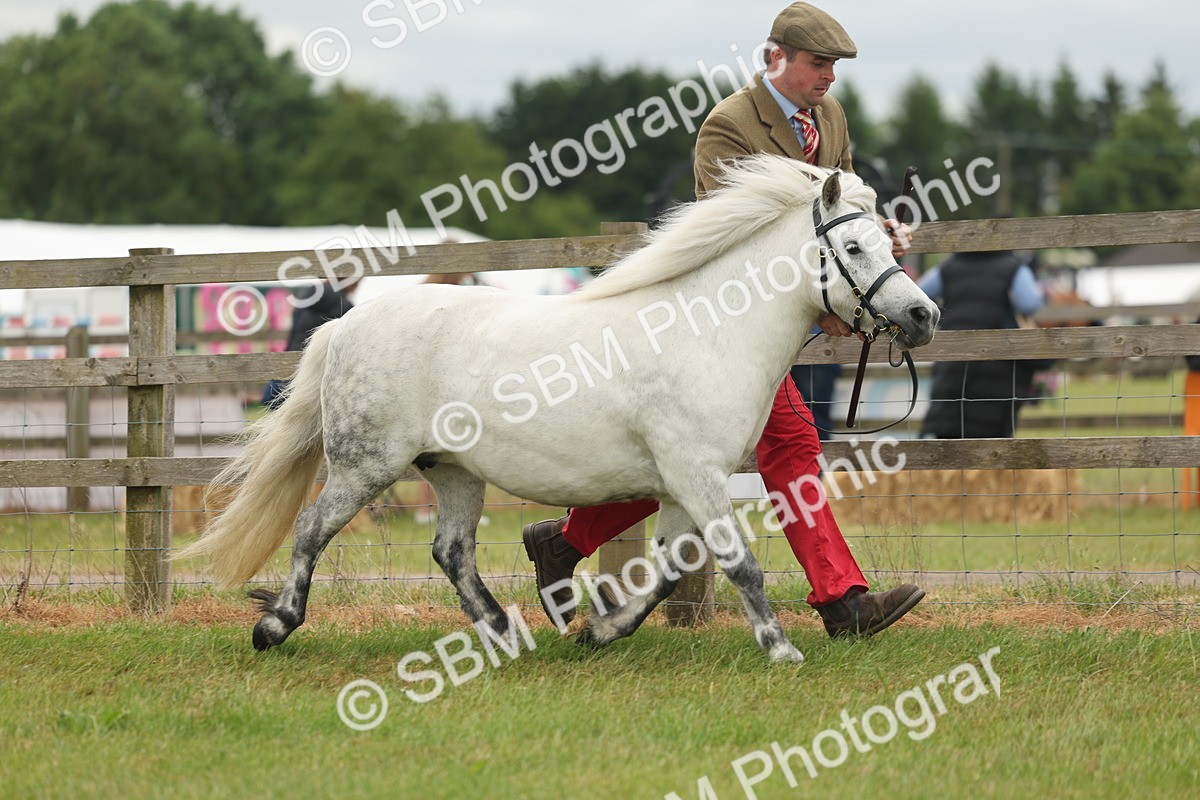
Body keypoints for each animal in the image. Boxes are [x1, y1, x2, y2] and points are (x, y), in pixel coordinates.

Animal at [176, 155, 939, 663]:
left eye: (887, 241)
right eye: (852, 246)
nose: (922, 315)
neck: (708, 331)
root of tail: (344, 326)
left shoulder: (686, 483)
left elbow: (666, 572)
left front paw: (600, 630)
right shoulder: (696, 475)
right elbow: (740, 563)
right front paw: (780, 649)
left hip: (453, 470)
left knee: (451, 550)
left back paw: (505, 633)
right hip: (367, 465)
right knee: (311, 529)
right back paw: (274, 627)